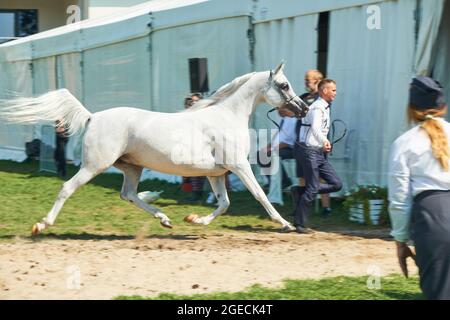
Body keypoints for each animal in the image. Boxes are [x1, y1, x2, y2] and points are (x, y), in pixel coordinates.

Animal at [0, 62, 308, 235]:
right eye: (284, 84)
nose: (303, 108)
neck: (227, 117)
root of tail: (92, 116)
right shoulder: (239, 166)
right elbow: (259, 195)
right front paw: (285, 224)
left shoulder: (216, 173)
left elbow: (224, 204)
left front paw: (194, 219)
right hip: (94, 166)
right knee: (67, 188)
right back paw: (41, 225)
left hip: (132, 167)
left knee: (128, 195)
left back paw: (165, 220)